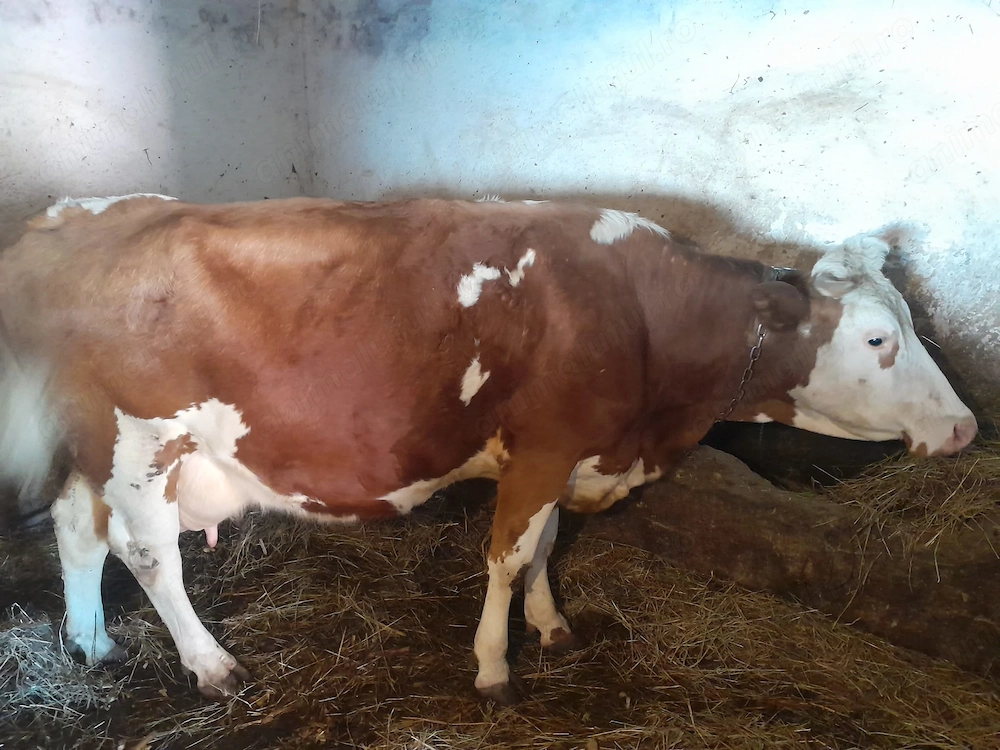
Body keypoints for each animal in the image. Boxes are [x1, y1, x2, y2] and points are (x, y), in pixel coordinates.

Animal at [0, 194, 977, 705]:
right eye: (879, 341)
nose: (968, 426)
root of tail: (67, 218)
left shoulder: (567, 455)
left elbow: (544, 547)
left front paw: (550, 625)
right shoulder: (544, 448)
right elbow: (507, 555)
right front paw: (494, 664)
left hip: (95, 443)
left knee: (77, 530)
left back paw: (91, 644)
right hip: (141, 442)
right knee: (148, 554)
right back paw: (210, 664)